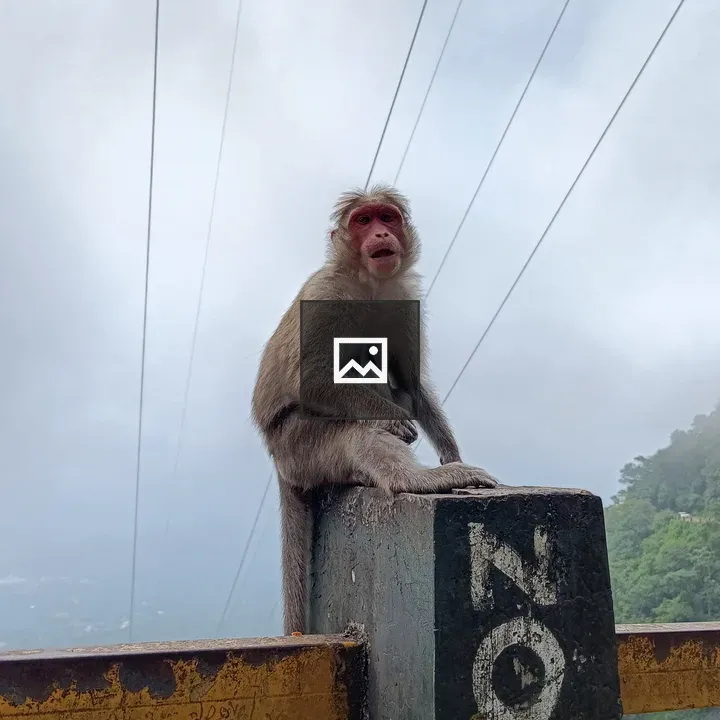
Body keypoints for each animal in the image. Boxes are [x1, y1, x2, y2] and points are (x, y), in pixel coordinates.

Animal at [251, 184, 497, 635]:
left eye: (387, 217)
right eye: (363, 221)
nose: (381, 234)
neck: (368, 286)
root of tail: (277, 460)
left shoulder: (403, 298)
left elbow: (412, 381)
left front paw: (451, 451)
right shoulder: (326, 295)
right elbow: (315, 379)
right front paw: (397, 425)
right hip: (299, 447)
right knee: (356, 434)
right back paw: (415, 478)